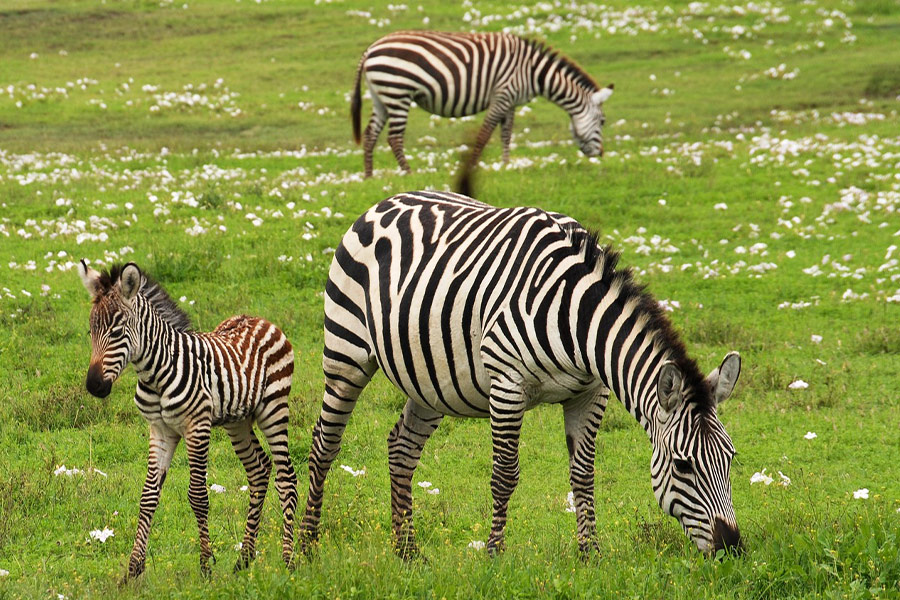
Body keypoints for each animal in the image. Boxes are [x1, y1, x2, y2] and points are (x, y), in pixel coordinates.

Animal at [77, 260, 297, 580]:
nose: (94, 386)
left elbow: (198, 496)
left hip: (274, 408)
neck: (155, 373)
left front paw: (206, 565)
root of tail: (260, 319)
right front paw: (133, 569)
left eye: (117, 331)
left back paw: (289, 560)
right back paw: (244, 559)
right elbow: (148, 497)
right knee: (259, 470)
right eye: (91, 330)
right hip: (237, 421)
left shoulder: (197, 427)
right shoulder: (159, 430)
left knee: (286, 477)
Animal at [300, 192, 742, 559]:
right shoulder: (508, 384)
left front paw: (591, 555)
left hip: (429, 380)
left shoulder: (590, 393)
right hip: (346, 353)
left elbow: (583, 475)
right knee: (324, 444)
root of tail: (384, 202)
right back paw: (304, 546)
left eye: (731, 459)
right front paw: (494, 553)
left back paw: (407, 551)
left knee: (401, 448)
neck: (577, 316)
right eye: (683, 466)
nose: (732, 547)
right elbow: (504, 475)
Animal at [351, 30, 614, 177]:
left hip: (381, 95)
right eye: (602, 121)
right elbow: (485, 133)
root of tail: (370, 49)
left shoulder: (511, 102)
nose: (600, 155)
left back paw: (369, 176)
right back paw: (408, 172)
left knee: (370, 134)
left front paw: (506, 165)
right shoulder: (503, 94)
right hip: (398, 91)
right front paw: (475, 166)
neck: (533, 72)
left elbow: (506, 133)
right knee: (394, 138)